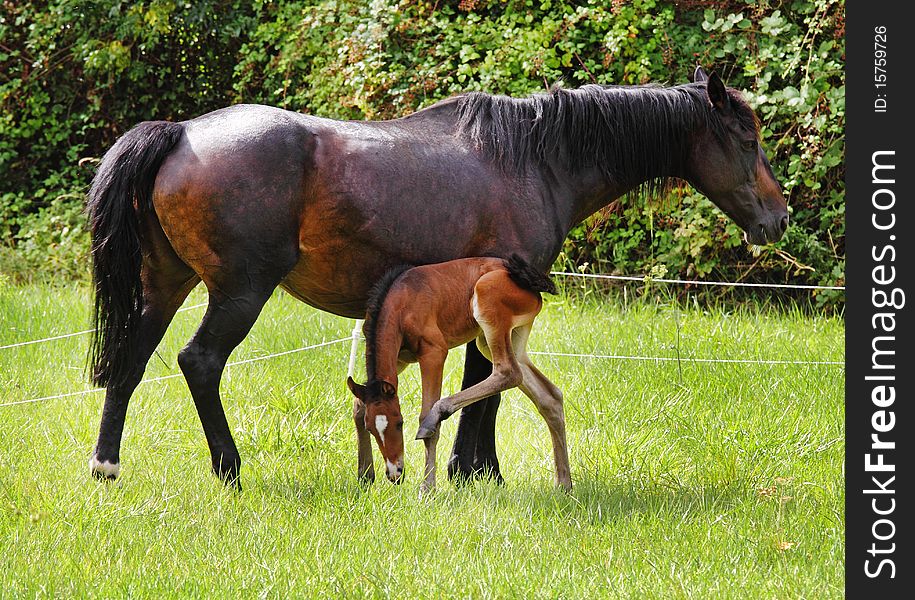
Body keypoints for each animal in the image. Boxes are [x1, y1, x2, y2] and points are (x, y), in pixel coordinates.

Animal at [348, 253, 568, 492]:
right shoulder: (400, 360)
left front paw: (427, 488)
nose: (395, 474)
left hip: (487, 305)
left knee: (509, 372)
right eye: (370, 429)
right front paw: (365, 476)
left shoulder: (434, 353)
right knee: (549, 395)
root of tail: (527, 279)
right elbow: (359, 405)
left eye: (400, 423)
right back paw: (564, 484)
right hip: (501, 339)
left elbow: (425, 414)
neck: (402, 301)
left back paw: (438, 413)